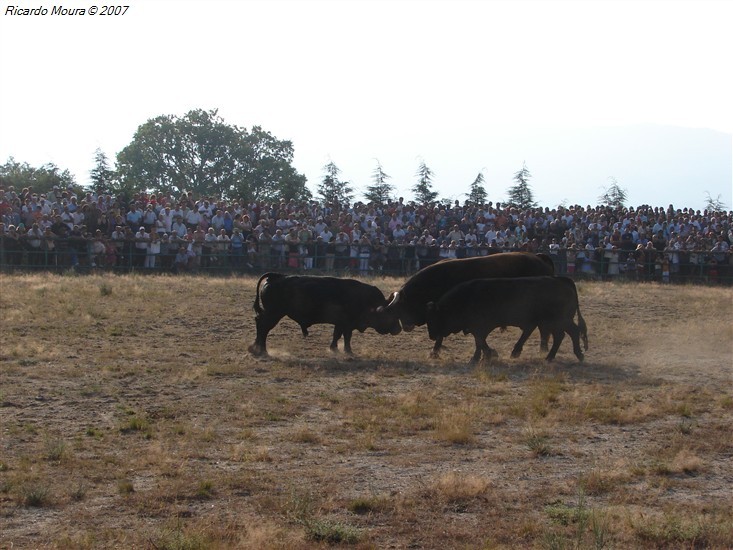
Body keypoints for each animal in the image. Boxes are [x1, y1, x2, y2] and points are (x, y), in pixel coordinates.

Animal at [426, 276, 588, 366]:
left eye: (433, 318)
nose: (431, 336)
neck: (463, 299)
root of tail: (562, 280)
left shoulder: (479, 327)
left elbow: (480, 341)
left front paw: (487, 355)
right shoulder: (477, 328)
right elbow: (479, 342)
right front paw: (482, 356)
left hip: (558, 321)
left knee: (570, 333)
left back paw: (571, 355)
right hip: (555, 323)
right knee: (563, 335)